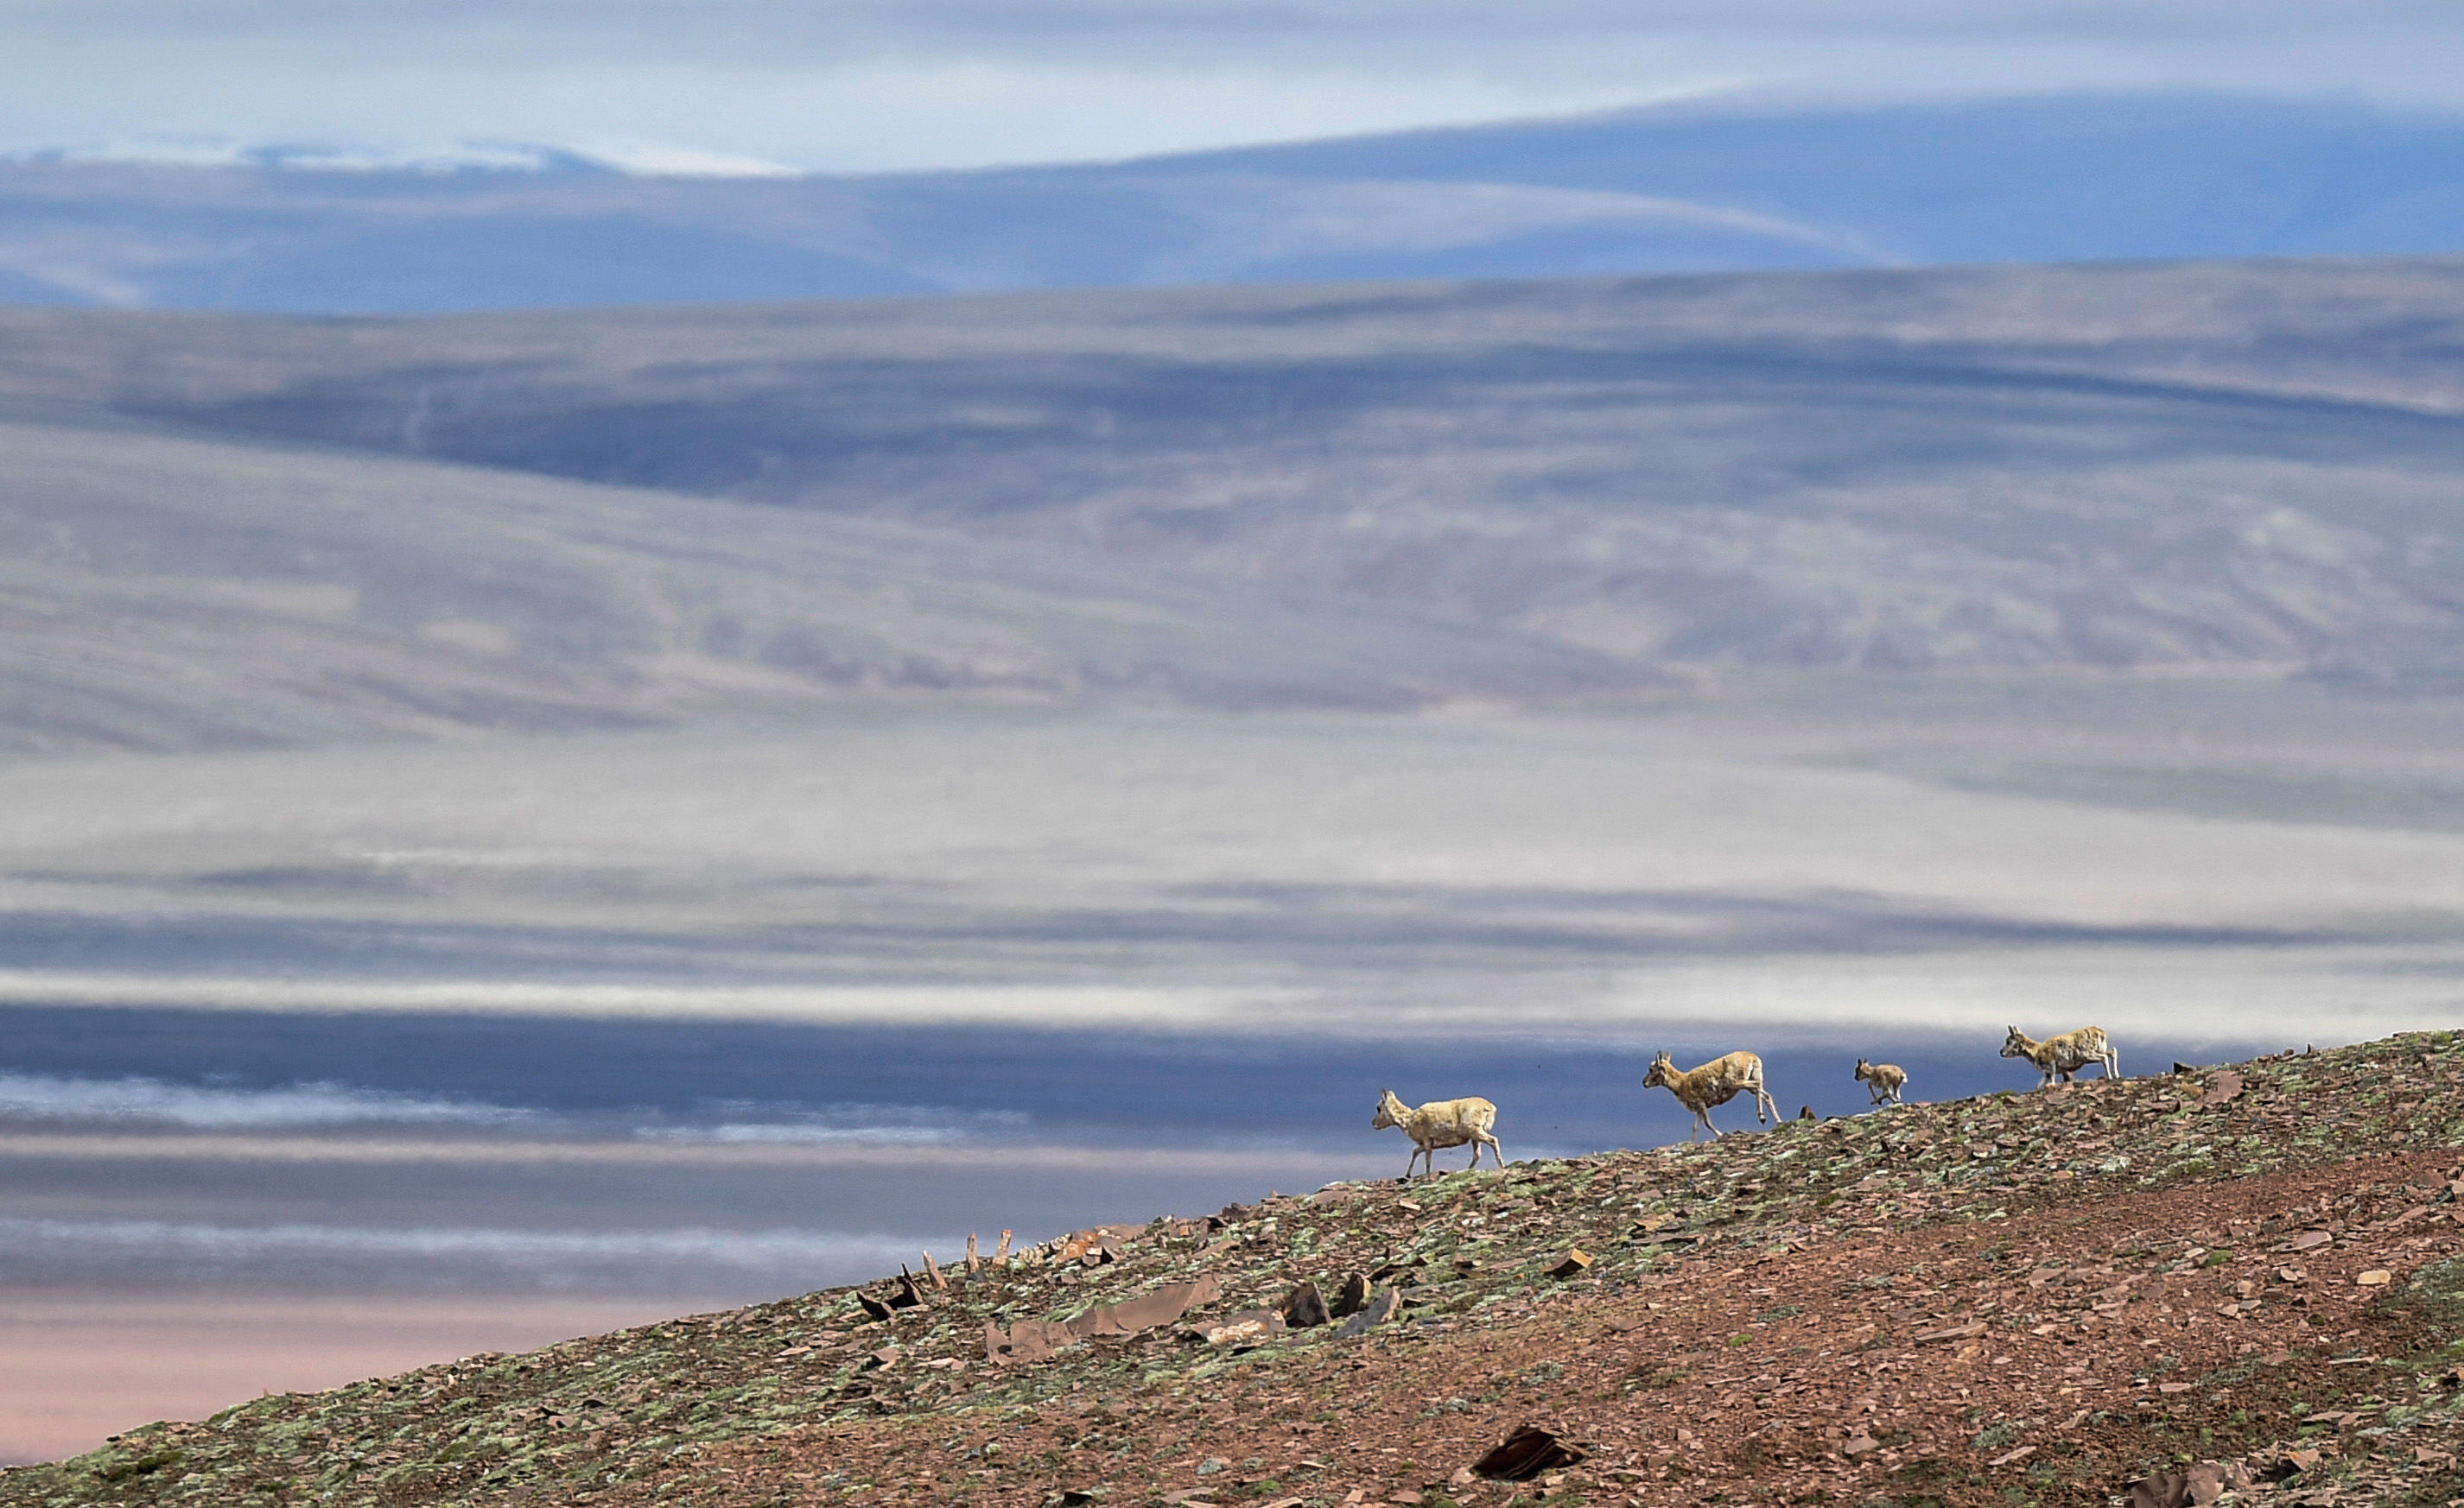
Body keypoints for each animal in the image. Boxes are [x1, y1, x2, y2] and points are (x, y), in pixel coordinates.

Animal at [1369, 1089, 1498, 1182]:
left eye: (1378, 1108)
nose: (1373, 1124)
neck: (1410, 1120)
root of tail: (1489, 1107)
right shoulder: (1428, 1143)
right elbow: (1415, 1152)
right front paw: (1407, 1175)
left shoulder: (1427, 1140)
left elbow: (1427, 1159)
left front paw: (1427, 1177)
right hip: (1474, 1137)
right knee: (1477, 1154)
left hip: (1475, 1131)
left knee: (1493, 1140)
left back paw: (1500, 1165)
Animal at [1646, 1049, 1783, 1143]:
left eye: (1651, 1069)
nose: (1643, 1082)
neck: (1682, 1082)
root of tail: (1752, 1057)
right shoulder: (1699, 1109)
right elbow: (1695, 1127)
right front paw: (1692, 1143)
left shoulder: (1701, 1103)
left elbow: (1707, 1123)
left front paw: (1722, 1135)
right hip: (1747, 1084)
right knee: (1766, 1094)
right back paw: (1777, 1121)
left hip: (1737, 1082)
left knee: (1757, 1085)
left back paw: (1762, 1117)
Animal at [2000, 1020, 2118, 1089]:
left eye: (2009, 1041)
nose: (2001, 1052)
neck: (2037, 1050)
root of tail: (2100, 1032)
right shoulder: (2047, 1073)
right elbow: (2039, 1086)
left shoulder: (2051, 1067)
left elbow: (2052, 1082)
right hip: (2099, 1051)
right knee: (2112, 1051)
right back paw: (2116, 1075)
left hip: (2088, 1054)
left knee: (2104, 1058)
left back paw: (2110, 1076)